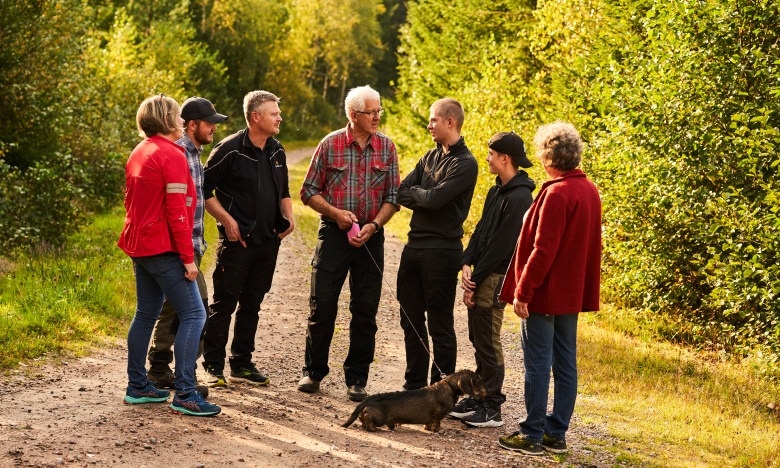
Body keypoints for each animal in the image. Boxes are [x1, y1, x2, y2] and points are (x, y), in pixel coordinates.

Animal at [342, 370, 488, 432]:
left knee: (362, 417)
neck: (450, 386)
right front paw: (437, 430)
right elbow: (436, 422)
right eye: (479, 381)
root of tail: (370, 398)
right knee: (367, 416)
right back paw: (372, 427)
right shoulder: (438, 415)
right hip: (379, 417)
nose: (487, 394)